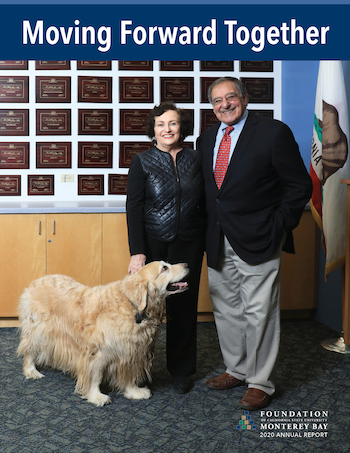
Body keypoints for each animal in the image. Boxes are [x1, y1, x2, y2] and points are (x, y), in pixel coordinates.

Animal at [17, 260, 189, 404]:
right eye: (164, 268)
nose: (187, 264)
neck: (133, 307)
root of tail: (37, 280)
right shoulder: (98, 353)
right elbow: (95, 376)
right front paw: (96, 396)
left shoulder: (131, 351)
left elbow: (129, 375)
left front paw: (134, 392)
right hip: (37, 330)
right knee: (29, 350)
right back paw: (31, 370)